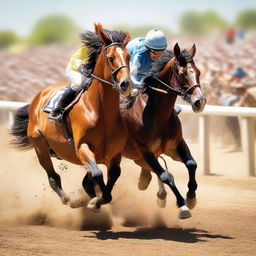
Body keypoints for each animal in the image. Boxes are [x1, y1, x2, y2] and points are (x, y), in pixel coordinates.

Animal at [10, 23, 132, 212]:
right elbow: (97, 174)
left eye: (128, 56)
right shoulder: (81, 147)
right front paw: (95, 201)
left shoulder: (114, 154)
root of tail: (37, 97)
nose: (126, 84)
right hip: (40, 146)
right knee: (53, 177)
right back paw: (69, 200)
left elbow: (111, 177)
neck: (101, 112)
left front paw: (96, 200)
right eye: (111, 58)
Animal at [121, 43, 207, 219]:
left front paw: (191, 197)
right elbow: (166, 175)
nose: (199, 102)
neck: (156, 115)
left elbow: (191, 164)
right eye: (181, 73)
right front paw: (182, 205)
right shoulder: (144, 150)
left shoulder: (175, 144)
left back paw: (153, 187)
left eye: (198, 72)